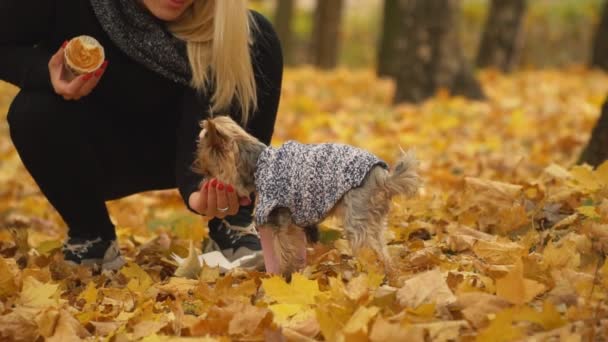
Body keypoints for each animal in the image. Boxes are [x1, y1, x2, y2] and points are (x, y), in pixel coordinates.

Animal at [192, 116, 420, 276]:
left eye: (208, 170)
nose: (200, 181)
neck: (257, 163)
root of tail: (382, 176)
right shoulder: (291, 222)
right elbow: (293, 245)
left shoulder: (278, 218)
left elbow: (282, 250)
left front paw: (283, 274)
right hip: (374, 217)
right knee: (381, 247)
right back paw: (389, 272)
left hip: (357, 215)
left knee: (368, 248)